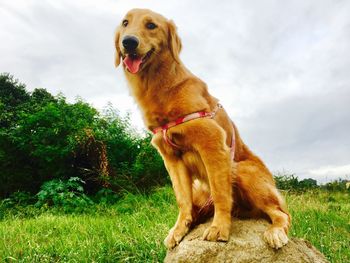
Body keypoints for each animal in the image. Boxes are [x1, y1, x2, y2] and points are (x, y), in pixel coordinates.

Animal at [114, 8, 290, 251]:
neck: (159, 86)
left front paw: (220, 228)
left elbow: (221, 194)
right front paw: (180, 228)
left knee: (281, 213)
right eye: (125, 23)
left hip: (242, 171)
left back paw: (275, 232)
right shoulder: (171, 158)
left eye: (151, 25)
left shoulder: (212, 143)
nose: (128, 42)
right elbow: (182, 200)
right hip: (201, 189)